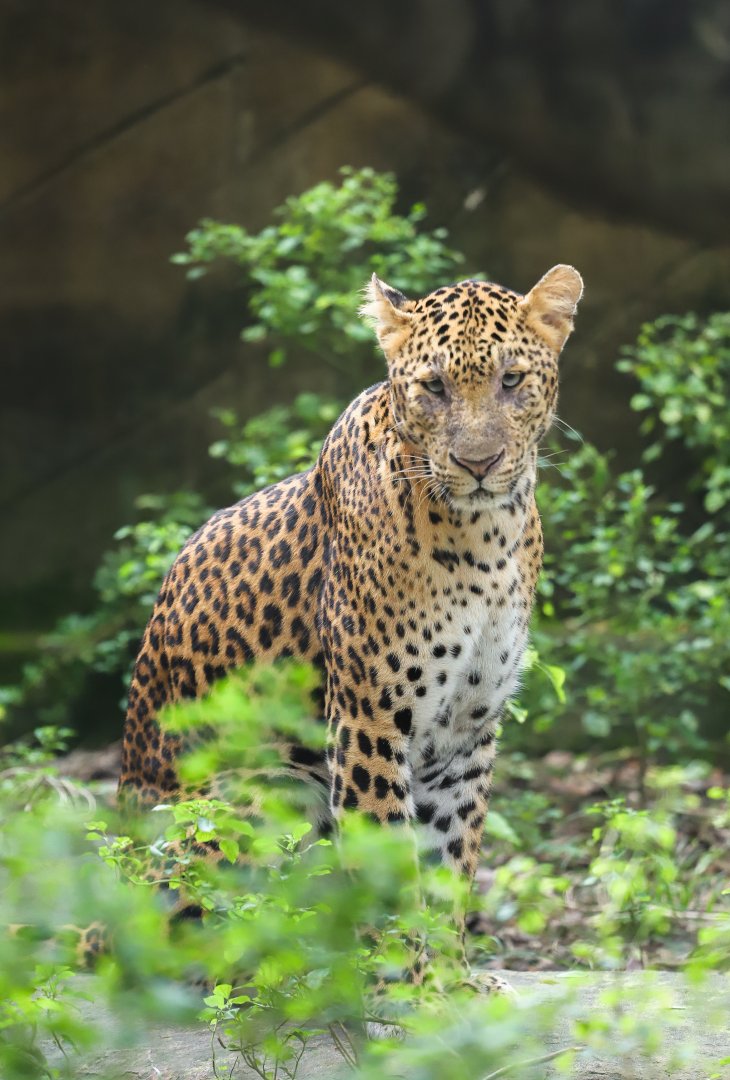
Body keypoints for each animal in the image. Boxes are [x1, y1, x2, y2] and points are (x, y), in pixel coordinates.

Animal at [118, 263, 583, 984]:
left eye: (511, 380)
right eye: (433, 387)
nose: (478, 463)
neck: (487, 537)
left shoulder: (467, 734)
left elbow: (452, 858)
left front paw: (452, 977)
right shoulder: (369, 720)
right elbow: (390, 861)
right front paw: (414, 987)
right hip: (255, 796)